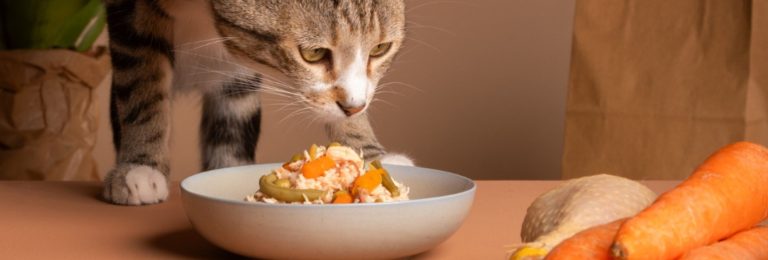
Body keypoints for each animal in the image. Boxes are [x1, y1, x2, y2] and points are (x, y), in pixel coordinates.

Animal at [106, 0, 414, 205]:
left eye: (380, 49)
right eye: (313, 53)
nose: (354, 106)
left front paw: (368, 151)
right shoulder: (129, 13)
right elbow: (142, 84)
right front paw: (140, 166)